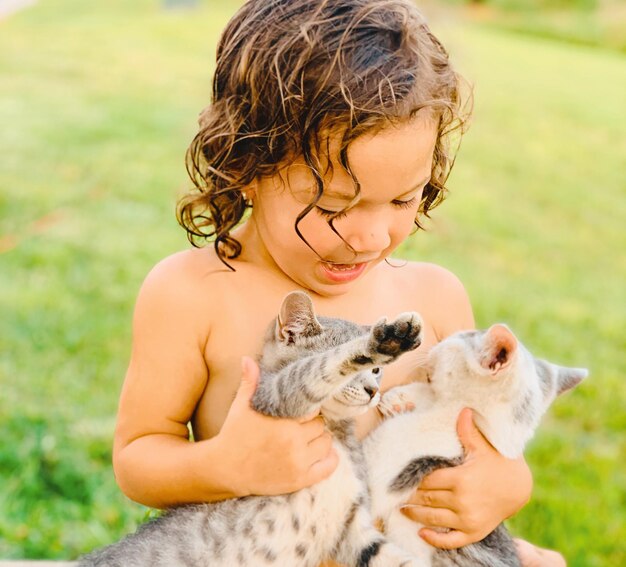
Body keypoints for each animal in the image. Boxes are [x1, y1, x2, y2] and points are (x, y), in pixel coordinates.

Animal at [78, 292, 420, 567]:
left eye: (377, 372)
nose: (374, 390)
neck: (334, 431)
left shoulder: (353, 530)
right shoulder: (275, 393)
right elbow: (321, 366)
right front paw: (385, 340)